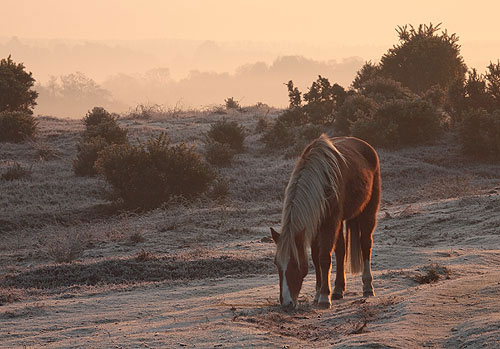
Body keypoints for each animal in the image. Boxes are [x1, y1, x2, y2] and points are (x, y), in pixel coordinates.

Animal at [272, 133, 380, 308]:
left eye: (294, 263)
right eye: (276, 264)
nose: (286, 303)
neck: (322, 182)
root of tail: (366, 146)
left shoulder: (329, 222)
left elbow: (324, 257)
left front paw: (323, 297)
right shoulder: (316, 224)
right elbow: (316, 258)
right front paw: (318, 294)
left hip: (368, 210)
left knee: (366, 243)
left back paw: (368, 287)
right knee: (341, 250)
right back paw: (338, 290)